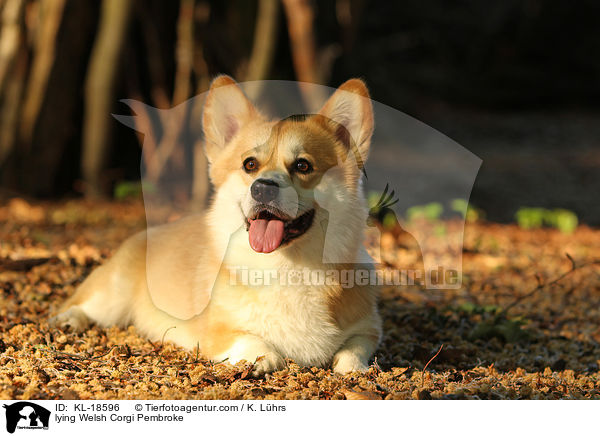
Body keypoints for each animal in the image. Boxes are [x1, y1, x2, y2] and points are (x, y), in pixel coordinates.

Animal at [49, 75, 382, 374]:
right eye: (250, 164)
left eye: (303, 165)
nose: (262, 188)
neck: (288, 266)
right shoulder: (219, 332)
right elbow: (258, 344)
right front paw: (264, 359)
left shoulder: (367, 329)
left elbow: (354, 352)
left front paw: (355, 367)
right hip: (113, 295)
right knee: (83, 304)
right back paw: (68, 319)